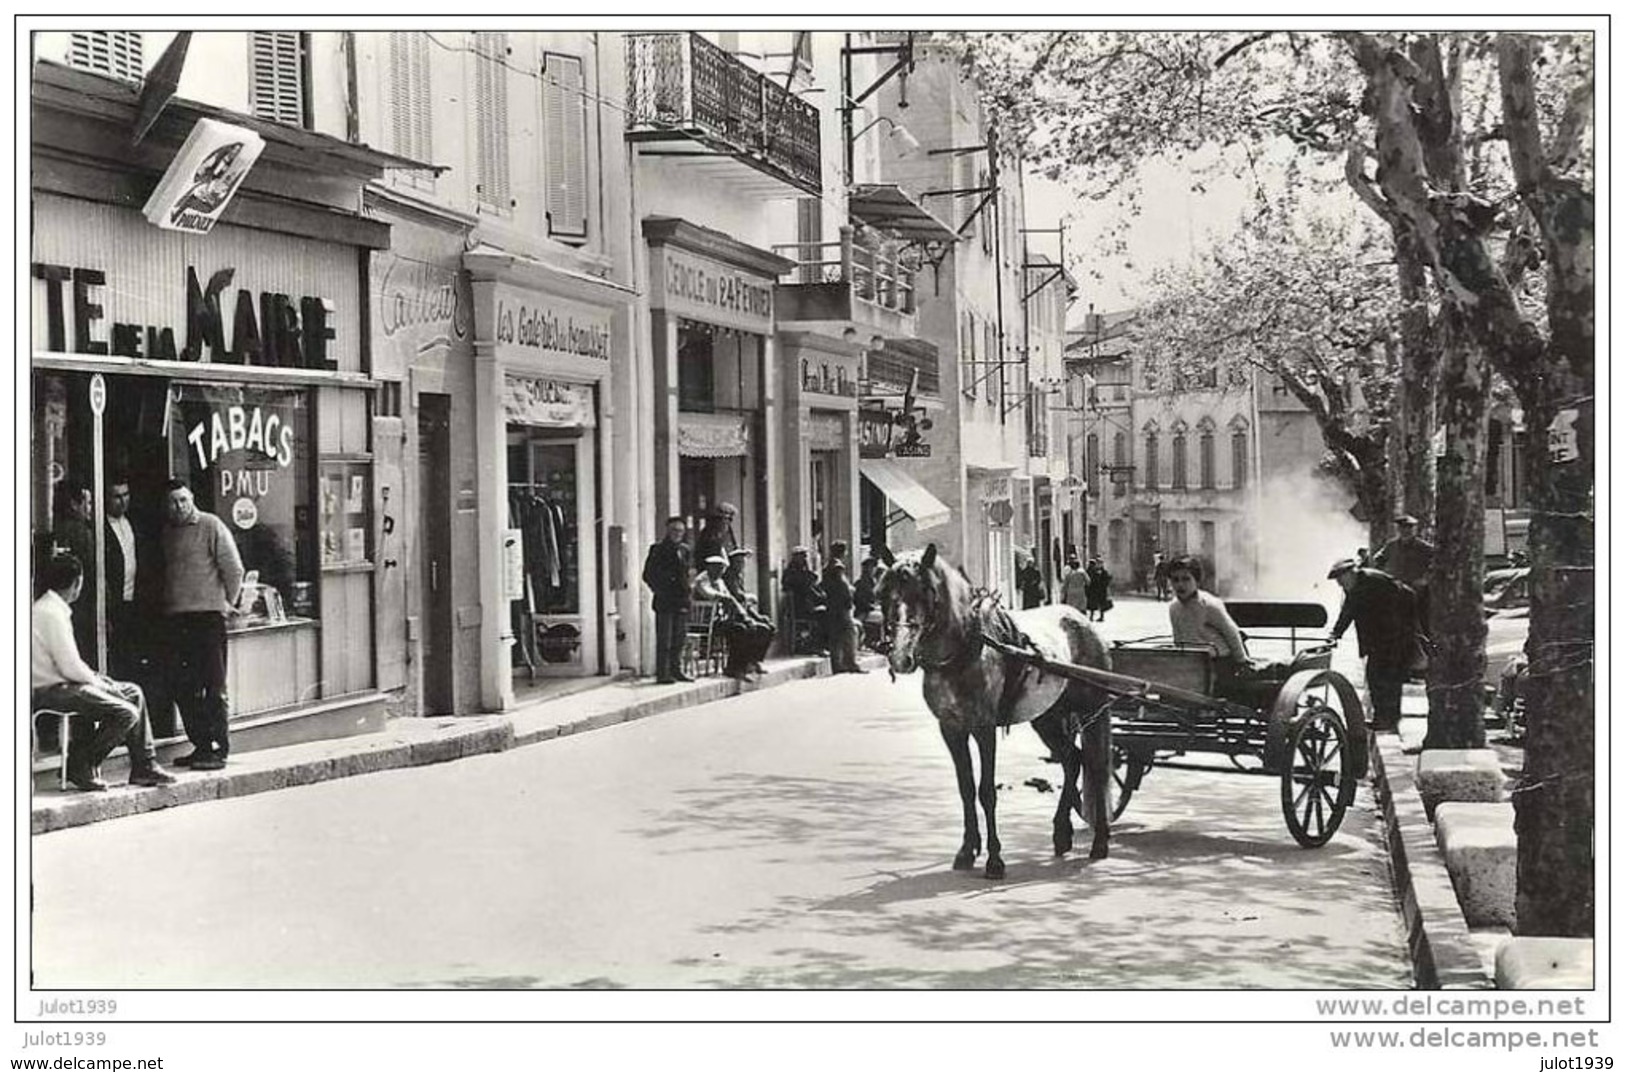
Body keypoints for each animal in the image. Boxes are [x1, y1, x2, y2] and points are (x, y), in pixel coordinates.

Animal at [877, 545, 1118, 877]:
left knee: (1096, 765)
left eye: (924, 593)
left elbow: (986, 791)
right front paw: (967, 851)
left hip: (1091, 710)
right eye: (885, 594)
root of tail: (1082, 620)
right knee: (1072, 761)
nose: (900, 658)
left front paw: (994, 860)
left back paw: (1100, 841)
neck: (963, 650)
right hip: (1048, 718)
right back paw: (1061, 833)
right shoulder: (951, 728)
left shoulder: (984, 728)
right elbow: (966, 788)